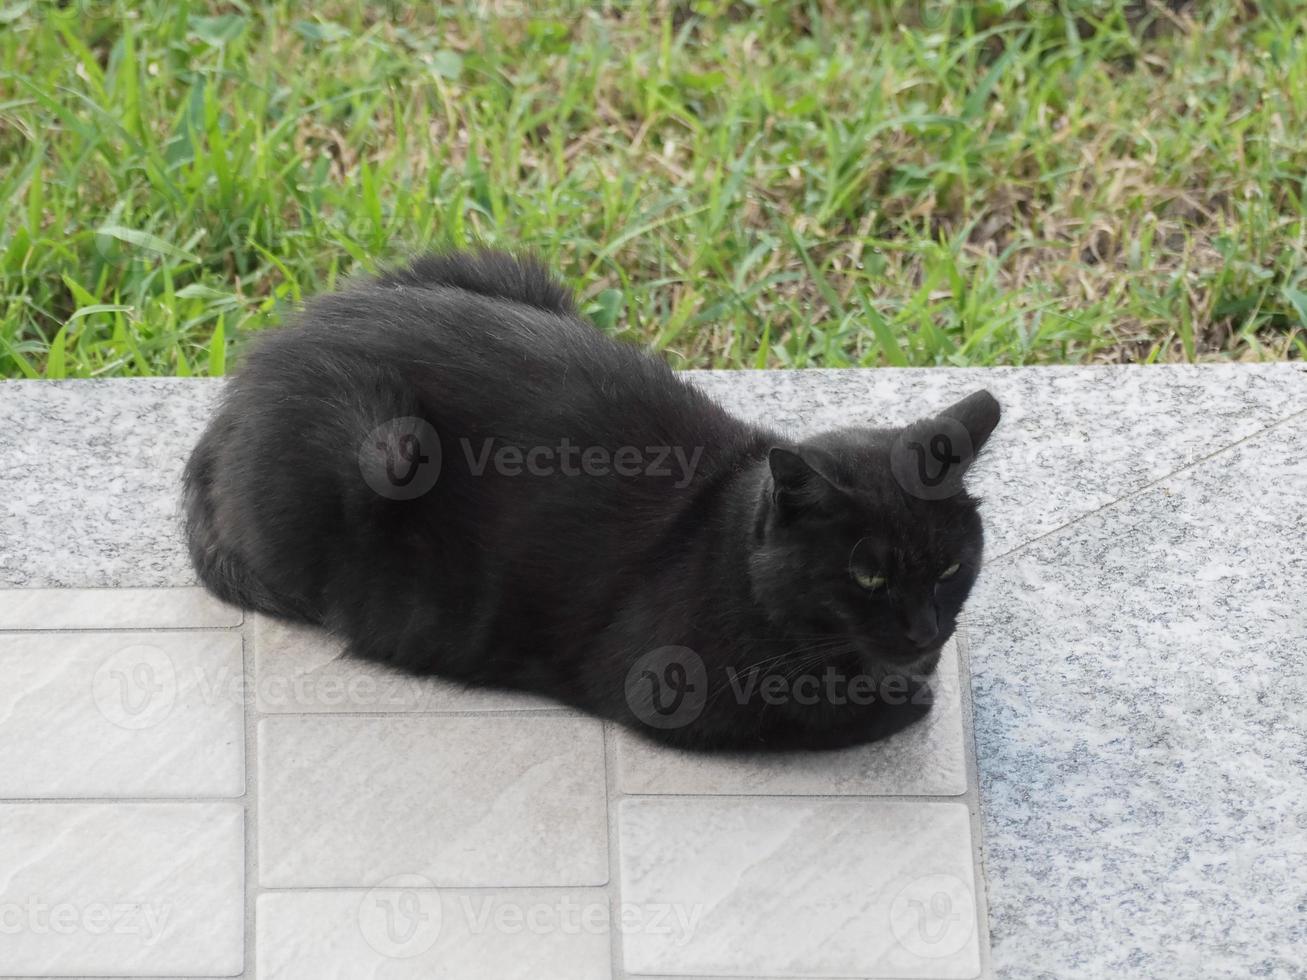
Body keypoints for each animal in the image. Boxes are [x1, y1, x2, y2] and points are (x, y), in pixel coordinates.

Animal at [184, 250, 998, 752]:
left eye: (949, 569)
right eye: (867, 575)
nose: (925, 628)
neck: (725, 537)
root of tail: (238, 390)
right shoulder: (674, 692)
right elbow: (841, 711)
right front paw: (904, 695)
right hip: (387, 447)